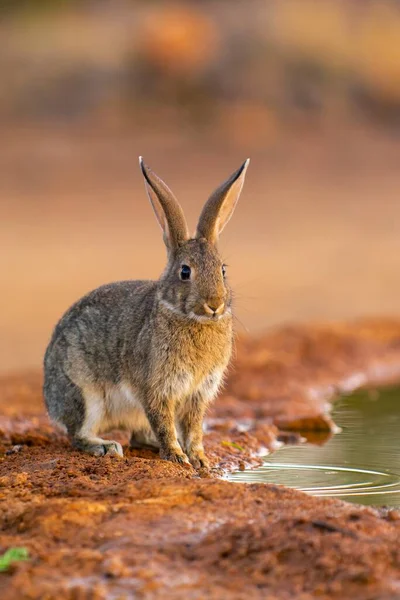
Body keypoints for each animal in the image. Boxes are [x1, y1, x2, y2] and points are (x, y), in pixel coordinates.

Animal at [44, 157, 250, 472]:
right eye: (185, 272)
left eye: (223, 270)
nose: (214, 304)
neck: (190, 318)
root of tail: (48, 397)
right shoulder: (156, 388)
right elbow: (164, 422)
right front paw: (177, 457)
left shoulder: (198, 393)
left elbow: (193, 428)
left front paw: (200, 459)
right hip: (84, 394)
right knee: (77, 434)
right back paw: (105, 446)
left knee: (139, 436)